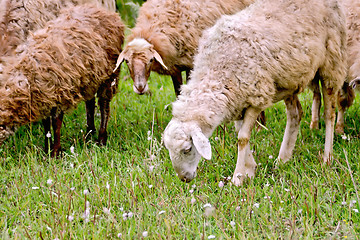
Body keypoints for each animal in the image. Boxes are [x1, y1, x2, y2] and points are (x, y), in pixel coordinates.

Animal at [0, 4, 125, 157]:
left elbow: (56, 124)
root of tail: (108, 14)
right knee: (90, 103)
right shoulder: (45, 99)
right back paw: (89, 133)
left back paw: (101, 139)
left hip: (110, 75)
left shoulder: (60, 94)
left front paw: (55, 152)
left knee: (104, 105)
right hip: (90, 78)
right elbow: (46, 125)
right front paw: (47, 148)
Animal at [114, 0, 255, 95]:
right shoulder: (174, 68)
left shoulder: (191, 64)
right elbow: (178, 92)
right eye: (127, 61)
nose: (140, 87)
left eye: (150, 60)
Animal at [162, 0, 346, 186]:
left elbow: (242, 137)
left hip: (331, 63)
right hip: (289, 79)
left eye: (187, 149)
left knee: (329, 114)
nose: (184, 178)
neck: (216, 68)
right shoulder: (236, 101)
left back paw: (327, 158)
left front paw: (238, 177)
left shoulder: (256, 97)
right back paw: (283, 158)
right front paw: (250, 170)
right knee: (296, 114)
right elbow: (240, 133)